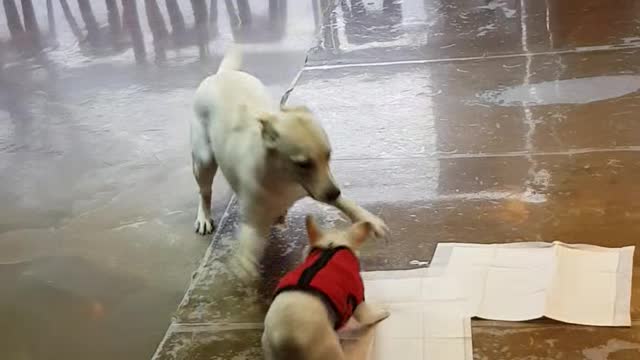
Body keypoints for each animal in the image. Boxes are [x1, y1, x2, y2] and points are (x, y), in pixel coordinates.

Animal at [190, 47, 388, 278]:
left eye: (328, 156)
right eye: (303, 164)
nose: (333, 193)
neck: (282, 178)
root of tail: (222, 73)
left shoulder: (318, 186)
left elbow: (347, 202)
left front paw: (369, 218)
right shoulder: (254, 222)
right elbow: (249, 245)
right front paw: (245, 264)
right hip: (203, 160)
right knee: (204, 192)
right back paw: (204, 216)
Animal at [262, 217, 390, 360]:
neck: (330, 248)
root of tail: (288, 342)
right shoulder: (358, 299)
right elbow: (368, 315)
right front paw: (383, 312)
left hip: (268, 348)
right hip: (330, 348)